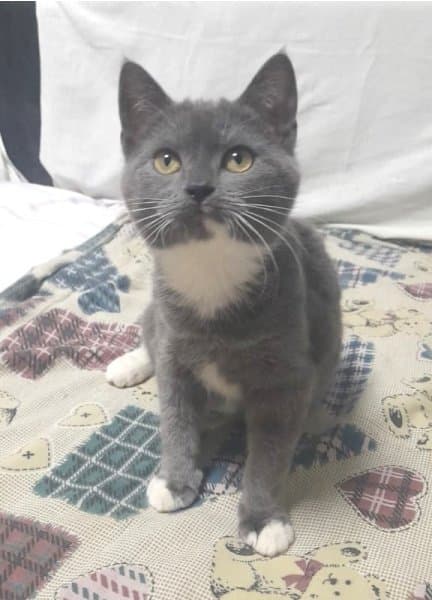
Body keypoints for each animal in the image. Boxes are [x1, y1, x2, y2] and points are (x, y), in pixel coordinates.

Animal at [106, 52, 342, 557]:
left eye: (239, 159)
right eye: (166, 160)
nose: (197, 187)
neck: (211, 273)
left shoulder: (286, 376)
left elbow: (269, 453)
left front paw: (262, 519)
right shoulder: (176, 348)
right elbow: (175, 419)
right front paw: (175, 480)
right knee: (149, 329)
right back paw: (129, 363)